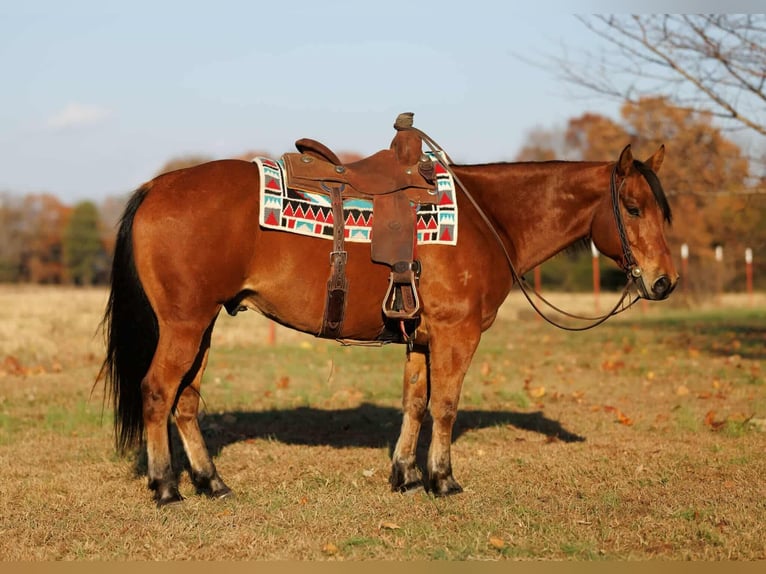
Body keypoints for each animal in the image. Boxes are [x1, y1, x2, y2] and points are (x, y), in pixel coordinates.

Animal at [100, 134, 677, 506]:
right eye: (632, 207)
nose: (664, 282)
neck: (489, 218)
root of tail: (156, 187)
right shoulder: (456, 335)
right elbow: (445, 407)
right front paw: (442, 480)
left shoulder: (420, 339)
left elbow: (415, 404)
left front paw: (406, 475)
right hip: (183, 325)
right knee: (157, 392)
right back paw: (166, 486)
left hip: (201, 327)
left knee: (186, 402)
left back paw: (210, 482)